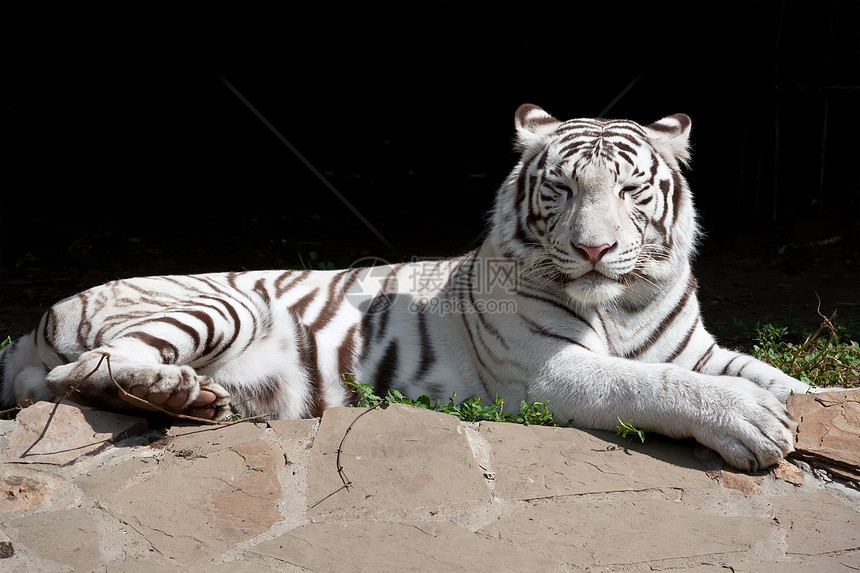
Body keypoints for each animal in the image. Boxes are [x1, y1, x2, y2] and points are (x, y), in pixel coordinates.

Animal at [0, 106, 812, 470]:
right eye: (561, 189)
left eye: (632, 191)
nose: (594, 248)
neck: (622, 304)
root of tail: (31, 324)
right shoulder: (545, 369)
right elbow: (649, 384)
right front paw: (752, 423)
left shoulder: (696, 348)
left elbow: (779, 377)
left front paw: (796, 401)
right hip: (219, 302)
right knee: (87, 372)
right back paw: (179, 393)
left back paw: (195, 401)